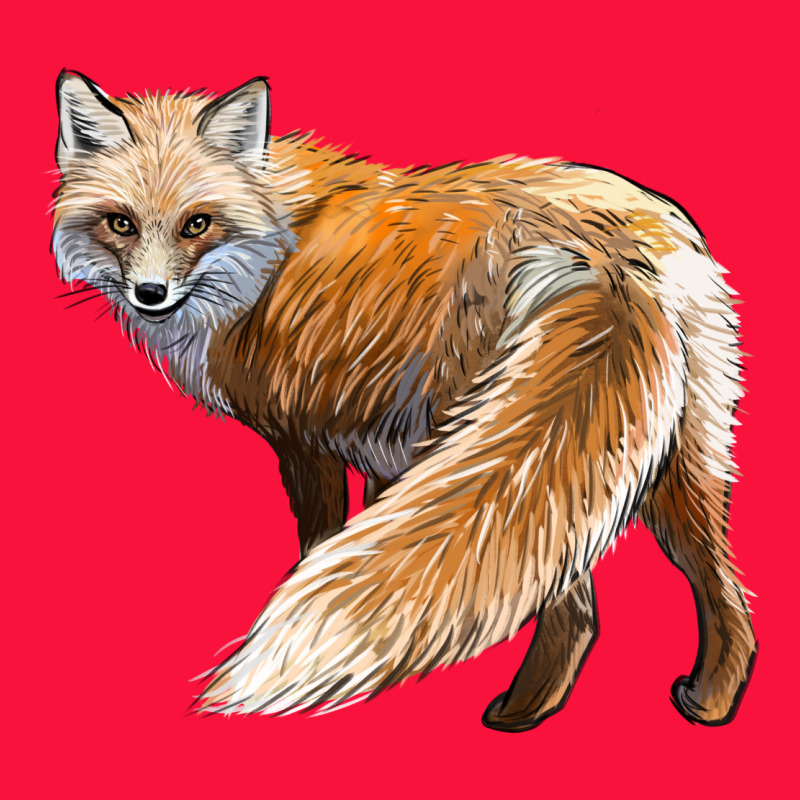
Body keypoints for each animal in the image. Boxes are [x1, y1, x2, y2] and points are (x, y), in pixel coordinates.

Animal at [52, 70, 757, 731]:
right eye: (121, 223)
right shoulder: (383, 447)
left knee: (573, 602)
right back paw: (704, 701)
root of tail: (604, 255)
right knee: (713, 589)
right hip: (666, 457)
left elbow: (321, 544)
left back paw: (517, 713)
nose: (150, 293)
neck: (271, 245)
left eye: (196, 223)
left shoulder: (304, 438)